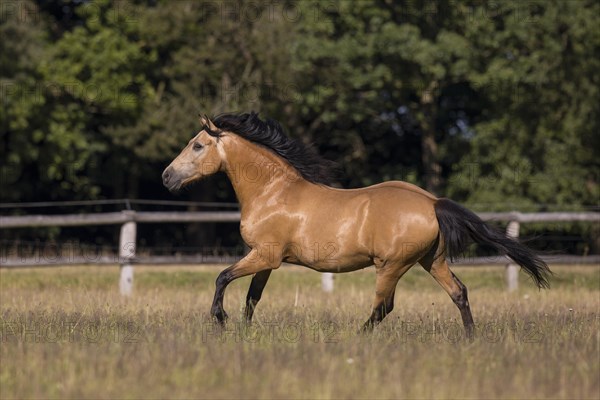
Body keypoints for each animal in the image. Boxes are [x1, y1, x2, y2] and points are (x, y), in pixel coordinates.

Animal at [162, 111, 552, 338]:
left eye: (197, 146)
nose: (166, 177)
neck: (272, 192)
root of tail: (431, 202)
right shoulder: (265, 259)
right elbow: (252, 297)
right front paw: (243, 332)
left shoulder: (265, 255)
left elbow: (222, 277)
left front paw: (220, 319)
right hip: (432, 261)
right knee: (458, 292)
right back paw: (470, 339)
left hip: (392, 265)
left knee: (383, 307)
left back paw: (357, 337)